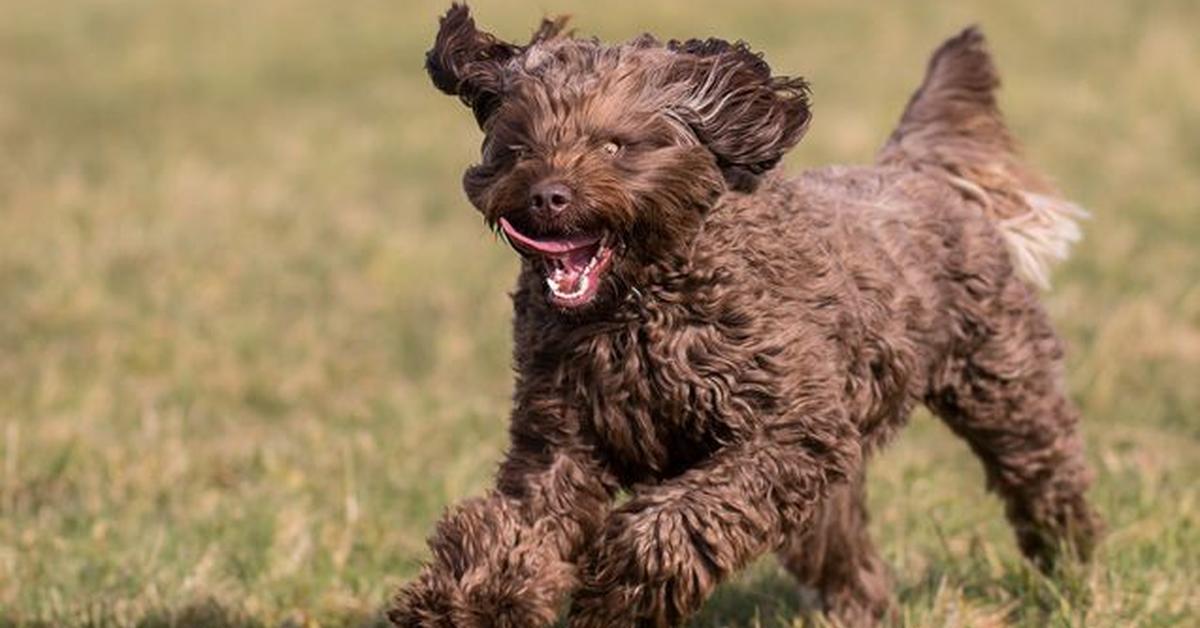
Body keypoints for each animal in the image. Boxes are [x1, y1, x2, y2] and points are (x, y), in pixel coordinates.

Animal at [391, 3, 1099, 624]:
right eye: (517, 148)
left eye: (615, 146)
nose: (546, 197)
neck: (636, 308)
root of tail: (916, 170)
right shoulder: (560, 443)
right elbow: (514, 529)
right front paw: (463, 604)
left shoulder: (787, 434)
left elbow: (680, 518)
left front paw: (619, 588)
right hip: (835, 477)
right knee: (848, 557)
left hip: (1001, 380)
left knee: (1045, 472)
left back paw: (1072, 570)